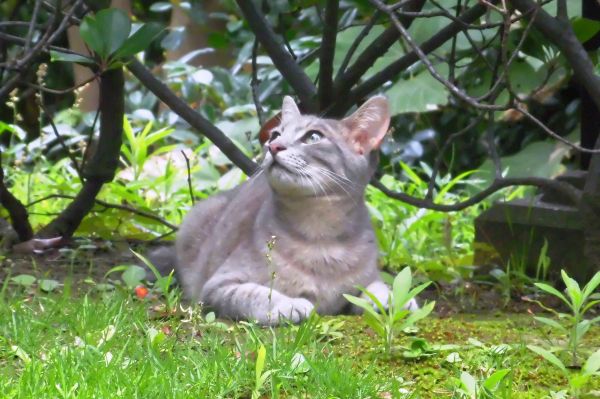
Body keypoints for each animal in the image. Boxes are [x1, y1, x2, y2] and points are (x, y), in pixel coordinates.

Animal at [164, 95, 418, 326]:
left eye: (313, 136)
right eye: (276, 135)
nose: (273, 146)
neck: (320, 235)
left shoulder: (368, 276)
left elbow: (380, 286)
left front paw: (396, 299)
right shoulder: (218, 285)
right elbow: (255, 294)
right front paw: (290, 304)